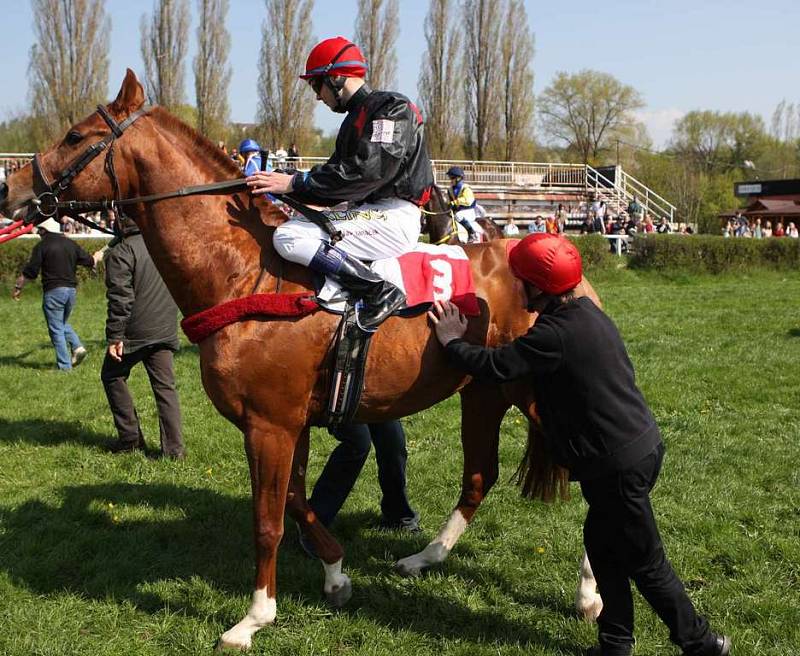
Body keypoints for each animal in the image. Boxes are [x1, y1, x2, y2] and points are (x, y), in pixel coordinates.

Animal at [0, 73, 604, 652]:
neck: (247, 273)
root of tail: (568, 268)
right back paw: (424, 557)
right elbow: (296, 501)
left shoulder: (270, 424)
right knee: (479, 476)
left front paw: (252, 619)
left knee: (588, 477)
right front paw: (335, 573)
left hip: (536, 397)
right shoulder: (286, 423)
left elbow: (267, 520)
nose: (10, 187)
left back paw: (589, 592)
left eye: (74, 136)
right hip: (483, 392)